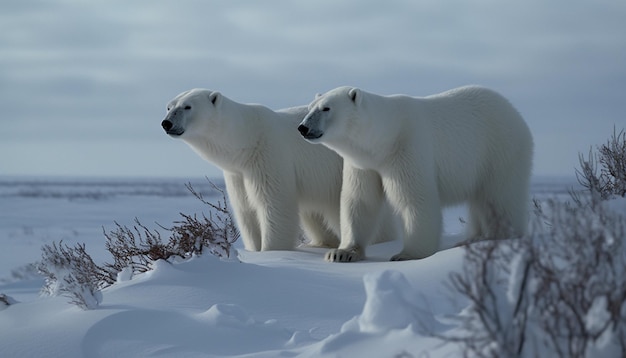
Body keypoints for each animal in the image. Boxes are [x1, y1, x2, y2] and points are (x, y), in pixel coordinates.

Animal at [298, 85, 532, 262]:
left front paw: (406, 255)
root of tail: (515, 112)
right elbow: (360, 201)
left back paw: (499, 236)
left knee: (499, 197)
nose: (302, 127)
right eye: (309, 108)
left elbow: (415, 199)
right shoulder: (364, 164)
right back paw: (474, 238)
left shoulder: (407, 148)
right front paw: (341, 253)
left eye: (326, 108)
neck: (384, 138)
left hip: (499, 150)